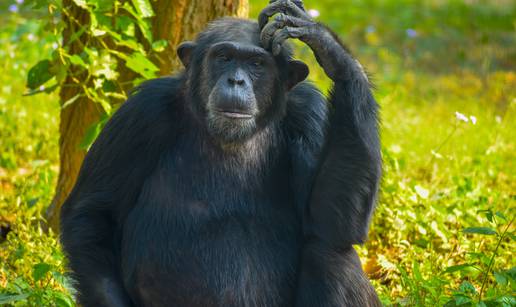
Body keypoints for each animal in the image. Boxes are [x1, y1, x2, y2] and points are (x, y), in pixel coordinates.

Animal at [61, 1, 382, 306]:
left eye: (256, 63)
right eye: (224, 57)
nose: (236, 80)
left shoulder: (309, 113)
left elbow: (330, 220)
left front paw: (325, 43)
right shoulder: (141, 114)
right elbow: (93, 213)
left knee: (329, 249)